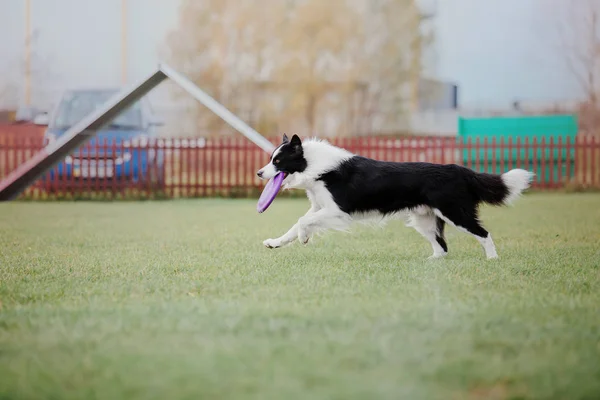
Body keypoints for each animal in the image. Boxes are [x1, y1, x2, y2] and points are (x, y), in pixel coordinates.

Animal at [258, 134, 536, 260]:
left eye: (278, 161)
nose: (259, 173)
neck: (314, 164)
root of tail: (459, 169)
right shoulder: (319, 207)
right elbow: (296, 223)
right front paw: (275, 242)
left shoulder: (338, 211)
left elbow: (303, 222)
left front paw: (304, 238)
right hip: (425, 219)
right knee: (442, 247)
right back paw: (431, 262)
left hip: (455, 211)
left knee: (483, 233)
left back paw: (492, 259)